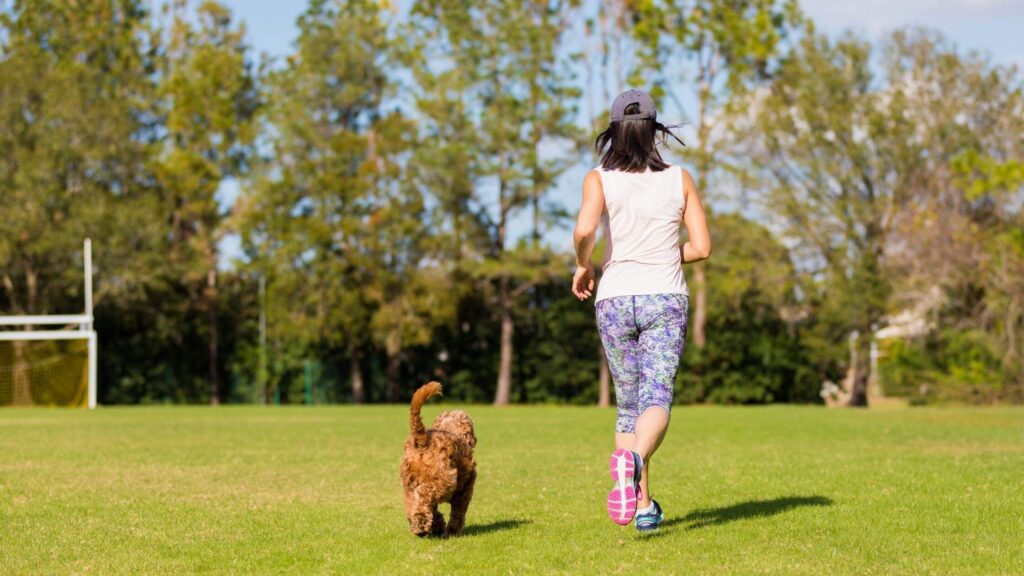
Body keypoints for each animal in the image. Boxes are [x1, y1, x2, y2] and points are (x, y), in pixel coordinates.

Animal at [401, 379, 477, 537]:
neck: (450, 428)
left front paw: (438, 525)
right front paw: (452, 531)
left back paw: (419, 526)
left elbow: (434, 509)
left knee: (414, 503)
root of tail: (423, 440)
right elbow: (458, 512)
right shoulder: (465, 489)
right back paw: (421, 523)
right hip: (444, 481)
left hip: (408, 484)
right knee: (423, 495)